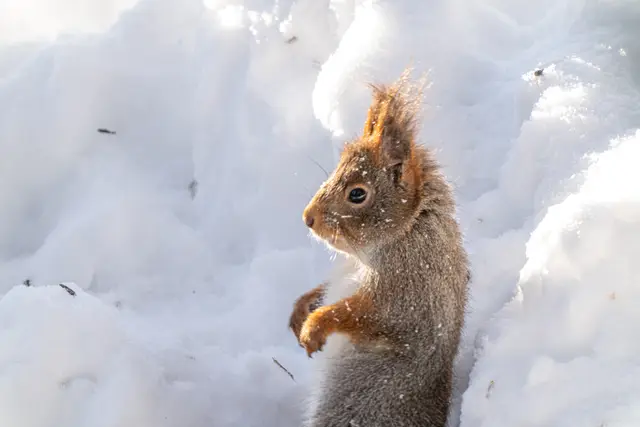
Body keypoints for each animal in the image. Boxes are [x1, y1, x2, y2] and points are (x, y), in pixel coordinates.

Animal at [289, 69, 470, 427]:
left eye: (358, 194)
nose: (308, 218)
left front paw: (315, 326)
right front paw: (301, 308)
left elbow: (361, 314)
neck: (405, 232)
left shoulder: (409, 291)